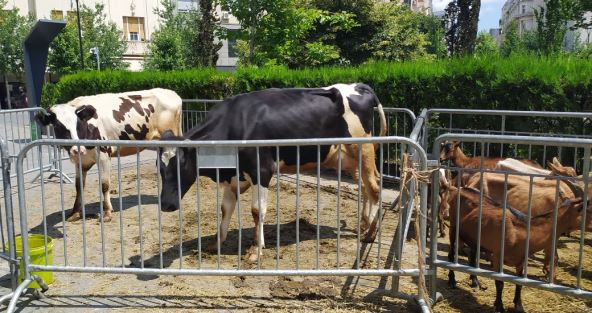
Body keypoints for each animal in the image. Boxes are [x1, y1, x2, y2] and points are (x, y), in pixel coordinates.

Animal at [160, 83, 386, 260]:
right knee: (365, 187)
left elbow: (257, 211)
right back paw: (363, 225)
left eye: (181, 164)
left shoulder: (261, 171)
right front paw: (216, 243)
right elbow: (225, 209)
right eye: (160, 168)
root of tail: (358, 86)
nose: (166, 205)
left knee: (374, 188)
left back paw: (371, 233)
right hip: (347, 158)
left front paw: (255, 250)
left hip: (363, 149)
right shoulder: (234, 177)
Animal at [446, 185, 588, 312]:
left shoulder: (521, 260)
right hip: (453, 228)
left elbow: (519, 283)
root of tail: (459, 189)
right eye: (588, 209)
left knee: (472, 257)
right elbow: (500, 282)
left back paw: (476, 282)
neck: (519, 232)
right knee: (451, 255)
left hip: (475, 239)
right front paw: (499, 306)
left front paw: (519, 306)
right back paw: (452, 281)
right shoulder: (497, 256)